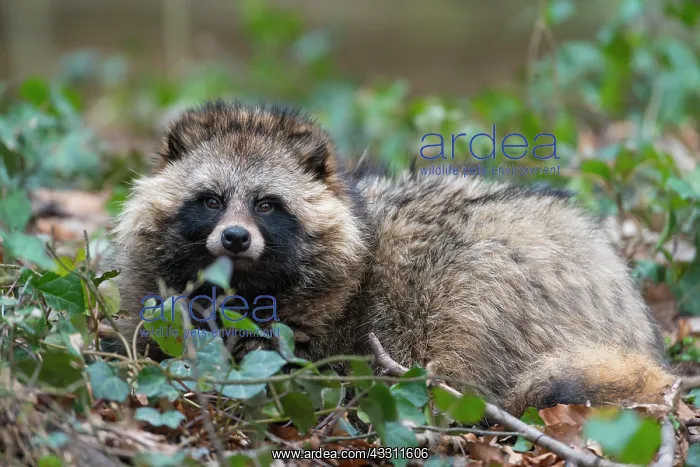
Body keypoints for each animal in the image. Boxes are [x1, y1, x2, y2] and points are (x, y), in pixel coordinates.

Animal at [110, 100, 675, 415]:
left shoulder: (325, 330)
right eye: (210, 200)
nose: (233, 238)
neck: (242, 289)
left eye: (266, 205)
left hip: (503, 275)